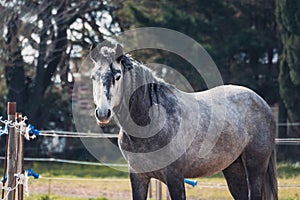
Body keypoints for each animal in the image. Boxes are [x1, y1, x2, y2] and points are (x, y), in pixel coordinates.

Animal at [90, 44, 278, 200]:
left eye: (118, 76)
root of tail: (262, 103)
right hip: (233, 168)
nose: (102, 113)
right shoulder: (138, 177)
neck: (150, 121)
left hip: (255, 167)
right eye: (93, 77)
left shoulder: (174, 177)